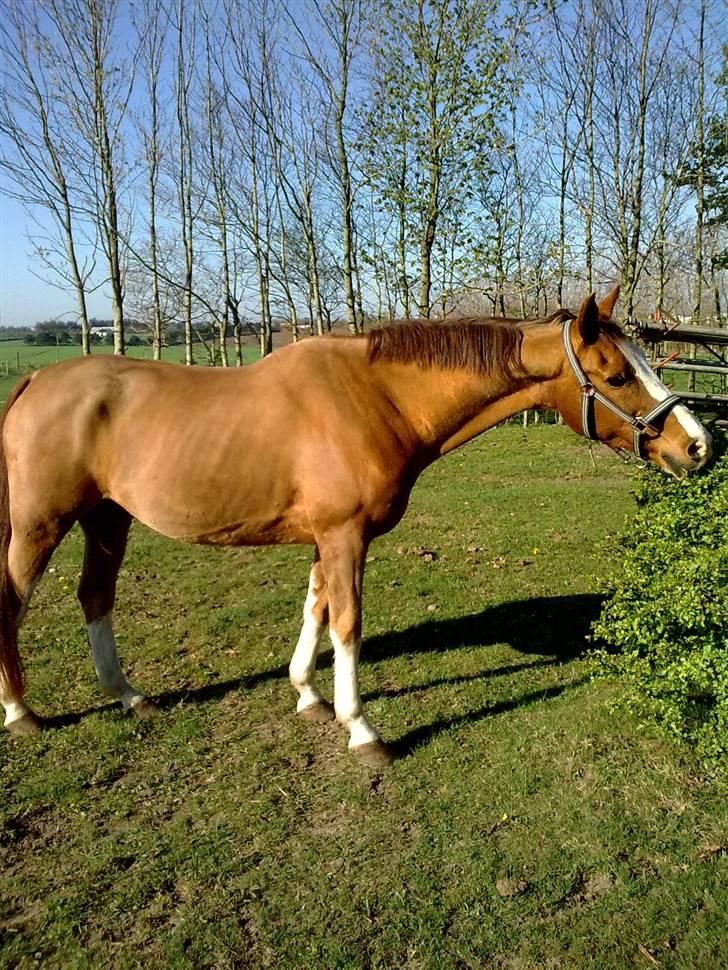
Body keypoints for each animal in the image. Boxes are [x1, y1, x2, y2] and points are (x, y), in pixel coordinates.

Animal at [0, 288, 712, 764]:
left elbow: (315, 608)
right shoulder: (345, 537)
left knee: (95, 597)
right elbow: (346, 623)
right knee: (12, 604)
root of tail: (34, 379)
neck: (377, 396)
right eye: (617, 374)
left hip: (107, 518)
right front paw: (360, 728)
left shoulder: (327, 539)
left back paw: (128, 696)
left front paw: (306, 695)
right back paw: (20, 712)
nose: (699, 446)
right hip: (41, 524)